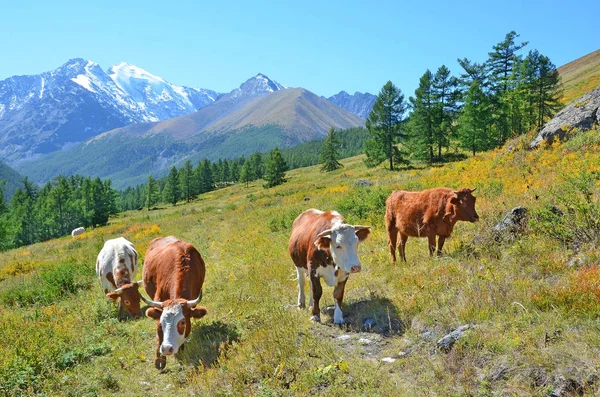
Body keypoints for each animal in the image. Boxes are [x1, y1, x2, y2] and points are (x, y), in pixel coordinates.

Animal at [140, 235, 206, 368]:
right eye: (162, 321)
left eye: (182, 322)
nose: (166, 348)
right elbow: (159, 333)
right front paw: (159, 359)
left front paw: (181, 353)